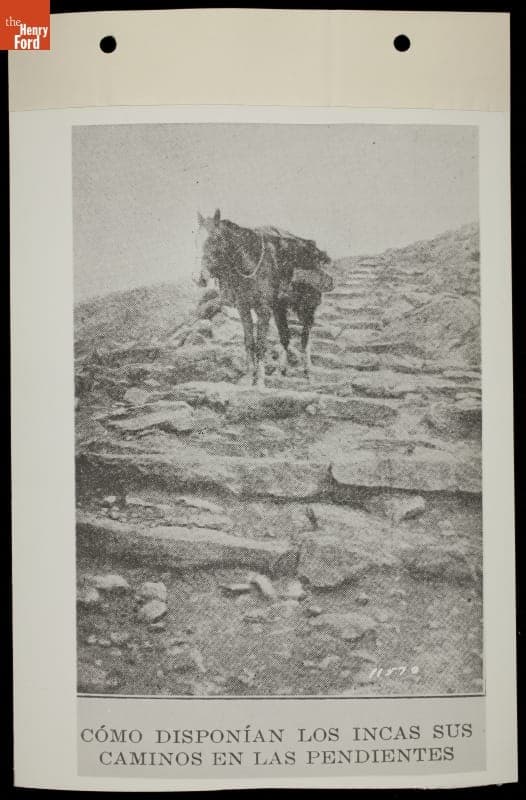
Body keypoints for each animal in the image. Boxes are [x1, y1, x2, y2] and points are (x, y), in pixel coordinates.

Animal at [194, 209, 332, 387]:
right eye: (196, 240)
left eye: (215, 239)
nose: (198, 278)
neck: (250, 265)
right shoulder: (244, 309)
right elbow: (249, 342)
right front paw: (247, 378)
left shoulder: (264, 310)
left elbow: (261, 344)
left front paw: (259, 380)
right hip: (280, 309)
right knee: (285, 337)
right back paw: (281, 372)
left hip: (307, 307)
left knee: (305, 339)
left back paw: (308, 374)